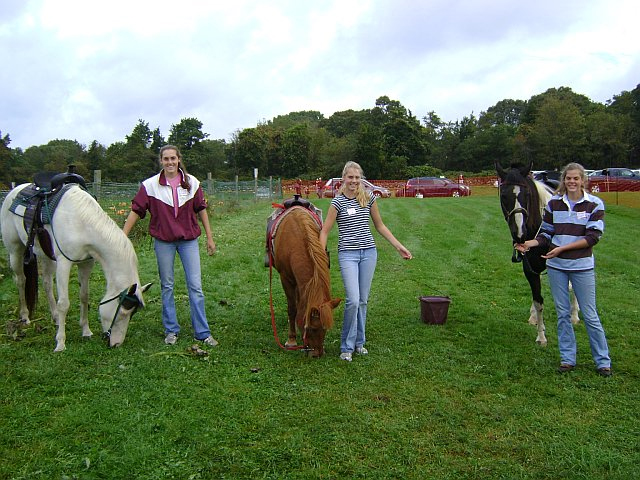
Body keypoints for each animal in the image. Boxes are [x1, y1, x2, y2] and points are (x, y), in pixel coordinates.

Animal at [0, 182, 151, 350]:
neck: (81, 222)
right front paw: (60, 342)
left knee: (46, 284)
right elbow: (64, 303)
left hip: (46, 256)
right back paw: (25, 316)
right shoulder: (64, 263)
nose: (116, 344)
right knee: (21, 281)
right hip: (15, 251)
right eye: (124, 312)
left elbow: (84, 296)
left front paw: (86, 331)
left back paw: (55, 318)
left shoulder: (86, 263)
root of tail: (15, 190)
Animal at [270, 206, 340, 356]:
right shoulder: (285, 279)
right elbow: (292, 309)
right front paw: (291, 340)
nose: (317, 354)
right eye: (312, 328)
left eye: (325, 328)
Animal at [496, 162, 580, 344]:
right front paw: (541, 334)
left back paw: (575, 315)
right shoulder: (530, 269)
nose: (519, 233)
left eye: (527, 194)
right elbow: (538, 300)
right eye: (504, 195)